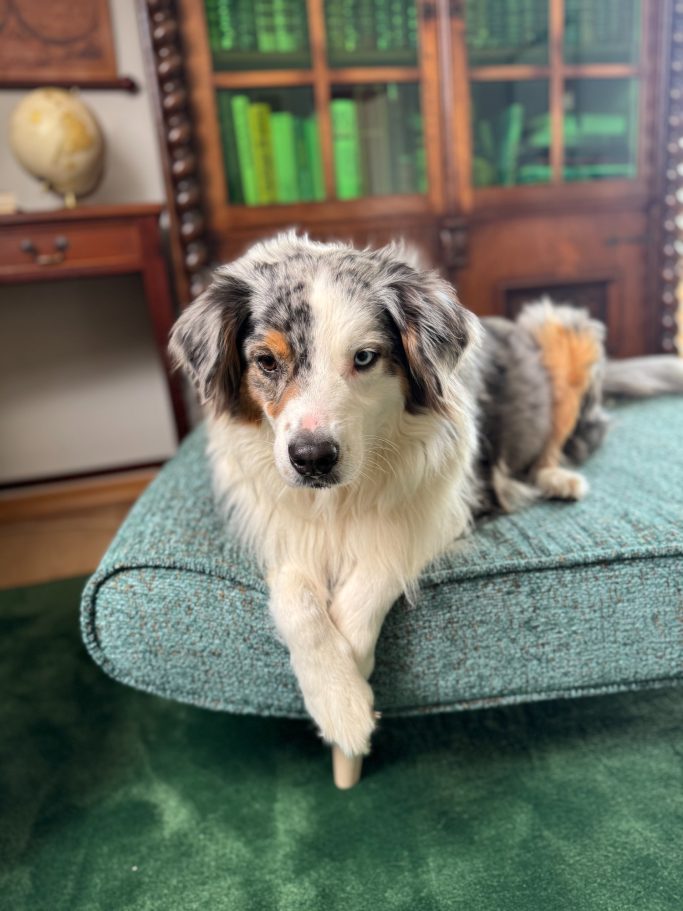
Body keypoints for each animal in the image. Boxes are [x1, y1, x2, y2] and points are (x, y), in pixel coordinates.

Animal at [170, 232, 683, 761]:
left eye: (364, 358)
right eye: (267, 361)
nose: (312, 459)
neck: (341, 497)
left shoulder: (452, 503)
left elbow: (378, 566)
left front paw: (353, 688)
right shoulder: (285, 529)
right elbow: (298, 601)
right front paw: (337, 696)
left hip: (559, 323)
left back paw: (558, 479)